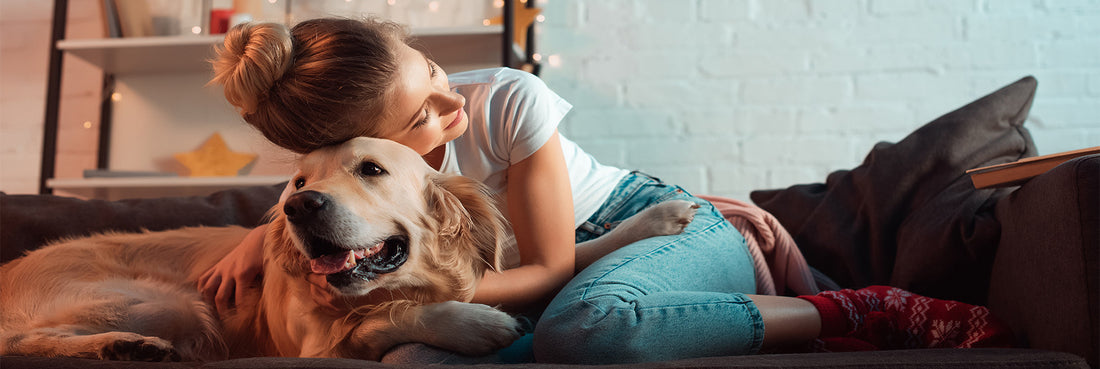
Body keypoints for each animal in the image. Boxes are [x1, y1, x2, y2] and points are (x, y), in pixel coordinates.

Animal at [0, 137, 695, 363]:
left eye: (371, 169)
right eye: (298, 183)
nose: (299, 207)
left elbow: (570, 255)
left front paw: (659, 215)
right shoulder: (318, 346)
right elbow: (387, 320)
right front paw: (476, 324)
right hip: (174, 303)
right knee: (25, 342)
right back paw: (125, 346)